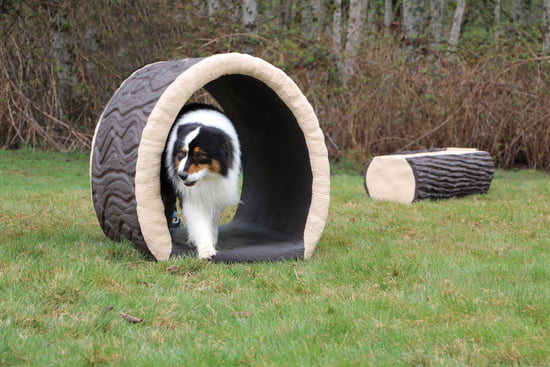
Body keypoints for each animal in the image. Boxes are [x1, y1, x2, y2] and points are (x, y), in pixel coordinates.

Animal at [161, 102, 240, 260]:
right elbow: (199, 222)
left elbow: (213, 220)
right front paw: (206, 249)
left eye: (200, 155)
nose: (181, 175)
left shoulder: (217, 191)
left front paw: (212, 240)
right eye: (181, 153)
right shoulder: (190, 196)